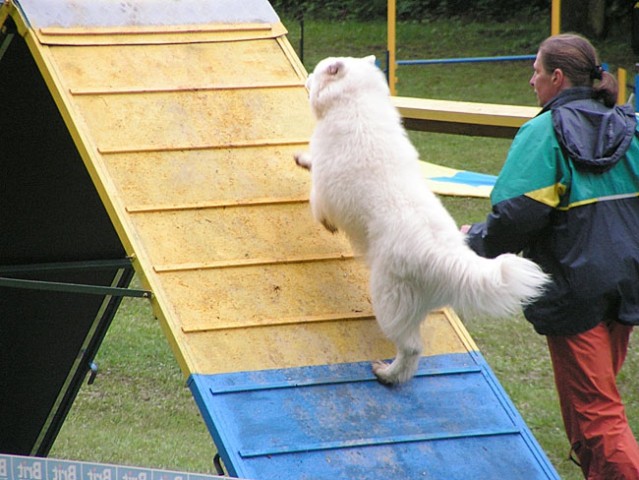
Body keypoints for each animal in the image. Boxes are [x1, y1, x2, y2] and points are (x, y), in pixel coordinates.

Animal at [296, 57, 552, 386]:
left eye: (317, 70)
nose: (306, 78)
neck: (356, 101)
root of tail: (446, 256)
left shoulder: (326, 188)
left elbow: (317, 200)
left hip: (388, 298)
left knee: (411, 349)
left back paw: (387, 374)